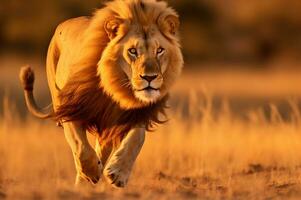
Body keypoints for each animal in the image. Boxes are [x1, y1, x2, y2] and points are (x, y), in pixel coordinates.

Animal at [19, 0, 183, 188]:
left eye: (160, 50)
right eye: (133, 51)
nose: (149, 78)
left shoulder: (133, 114)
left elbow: (137, 138)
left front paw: (118, 173)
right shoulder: (71, 109)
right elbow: (81, 148)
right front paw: (90, 173)